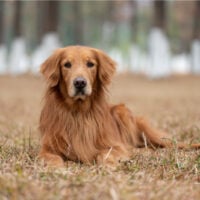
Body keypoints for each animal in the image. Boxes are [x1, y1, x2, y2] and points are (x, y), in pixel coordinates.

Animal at [39, 45, 200, 167]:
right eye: (67, 64)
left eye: (90, 64)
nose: (80, 83)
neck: (78, 112)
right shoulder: (47, 148)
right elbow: (52, 157)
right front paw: (55, 167)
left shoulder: (115, 145)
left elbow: (104, 153)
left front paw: (109, 164)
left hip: (123, 112)